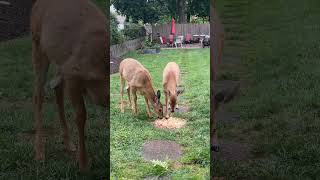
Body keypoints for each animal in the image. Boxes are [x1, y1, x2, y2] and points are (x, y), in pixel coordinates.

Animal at [31, 0, 109, 171]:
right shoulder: (73, 74)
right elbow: (81, 116)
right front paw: (83, 163)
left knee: (56, 88)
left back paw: (68, 143)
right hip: (38, 44)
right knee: (39, 94)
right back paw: (39, 153)